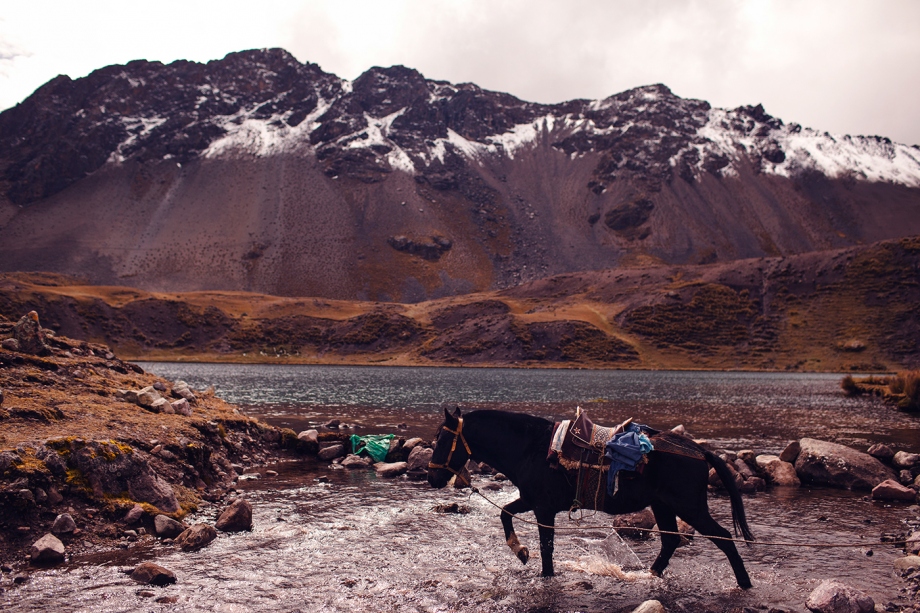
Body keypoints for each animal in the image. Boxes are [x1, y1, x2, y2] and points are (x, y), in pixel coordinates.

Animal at [428, 406, 752, 588]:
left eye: (442, 440)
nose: (432, 478)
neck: (529, 447)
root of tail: (699, 451)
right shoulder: (531, 501)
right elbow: (505, 513)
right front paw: (520, 551)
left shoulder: (543, 509)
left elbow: (547, 547)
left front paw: (542, 571)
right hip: (663, 506)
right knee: (670, 542)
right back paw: (648, 575)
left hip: (690, 507)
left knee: (724, 538)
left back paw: (745, 584)